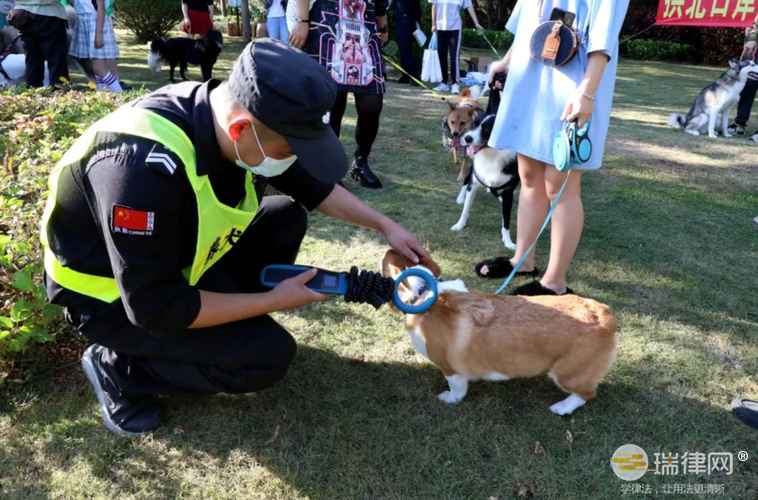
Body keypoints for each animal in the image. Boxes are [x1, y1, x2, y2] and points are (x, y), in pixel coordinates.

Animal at [382, 248, 620, 416]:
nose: (389, 248)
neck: (425, 293)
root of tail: (606, 315)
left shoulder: (450, 368)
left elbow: (457, 388)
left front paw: (449, 399)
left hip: (566, 374)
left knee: (586, 394)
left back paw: (562, 407)